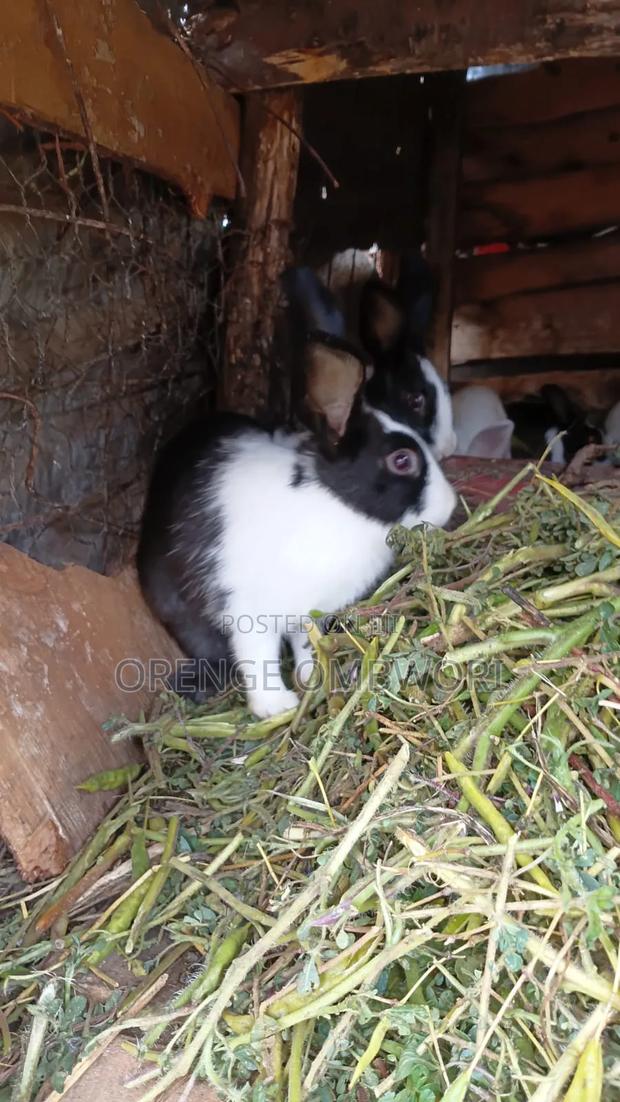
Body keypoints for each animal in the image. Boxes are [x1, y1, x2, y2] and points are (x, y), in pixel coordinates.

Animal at [137, 333, 457, 719]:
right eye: (401, 460)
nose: (450, 505)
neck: (336, 504)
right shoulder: (249, 612)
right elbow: (257, 656)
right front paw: (276, 707)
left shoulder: (308, 614)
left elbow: (306, 644)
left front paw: (314, 677)